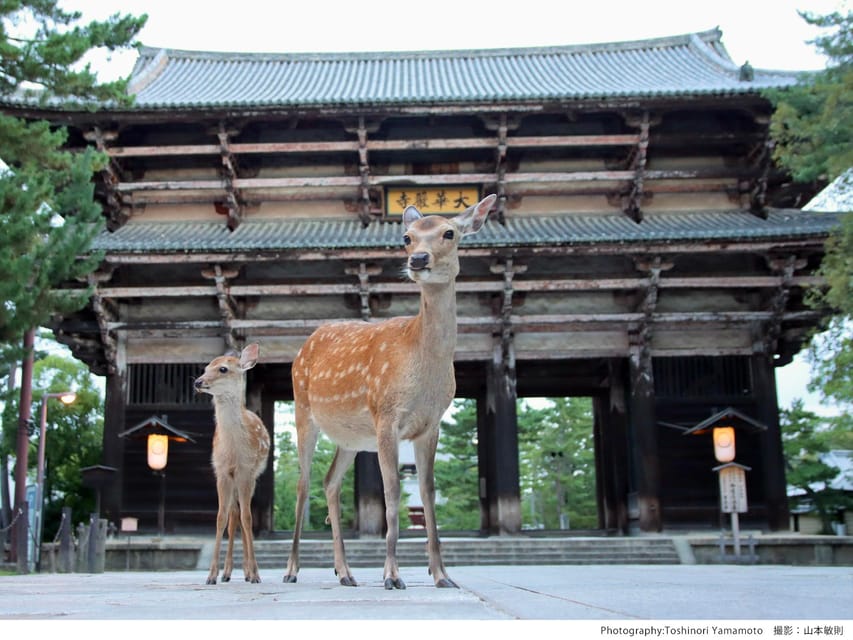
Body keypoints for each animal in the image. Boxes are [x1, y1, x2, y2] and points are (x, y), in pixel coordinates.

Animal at [193, 344, 270, 584]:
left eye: (223, 369)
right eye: (205, 367)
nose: (198, 382)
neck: (234, 452)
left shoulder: (246, 470)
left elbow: (248, 518)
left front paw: (256, 574)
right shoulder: (222, 471)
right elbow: (221, 518)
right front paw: (211, 575)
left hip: (252, 477)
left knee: (243, 516)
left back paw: (247, 572)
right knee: (234, 515)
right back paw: (228, 572)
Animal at [284, 191, 492, 592]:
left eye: (449, 233)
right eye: (407, 237)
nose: (418, 259)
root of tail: (305, 343)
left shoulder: (431, 424)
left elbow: (427, 492)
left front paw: (443, 575)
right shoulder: (386, 415)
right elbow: (392, 490)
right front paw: (392, 575)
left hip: (350, 437)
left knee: (330, 482)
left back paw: (345, 572)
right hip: (304, 410)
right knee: (302, 484)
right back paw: (291, 569)